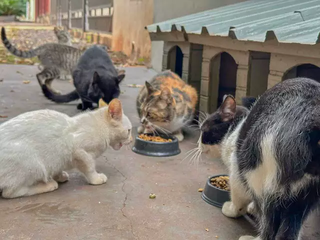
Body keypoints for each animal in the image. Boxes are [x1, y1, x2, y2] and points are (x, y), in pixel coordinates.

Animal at [0, 98, 131, 199]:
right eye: (129, 131)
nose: (131, 140)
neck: (101, 126)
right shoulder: (78, 150)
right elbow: (89, 166)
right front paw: (95, 178)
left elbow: (57, 166)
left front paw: (59, 175)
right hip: (33, 163)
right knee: (10, 192)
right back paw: (47, 185)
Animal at [200, 78, 320, 239]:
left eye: (203, 130)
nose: (198, 144)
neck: (236, 128)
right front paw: (251, 207)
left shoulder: (238, 169)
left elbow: (238, 194)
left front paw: (233, 209)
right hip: (305, 195)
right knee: (290, 228)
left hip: (263, 178)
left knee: (269, 220)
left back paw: (252, 237)